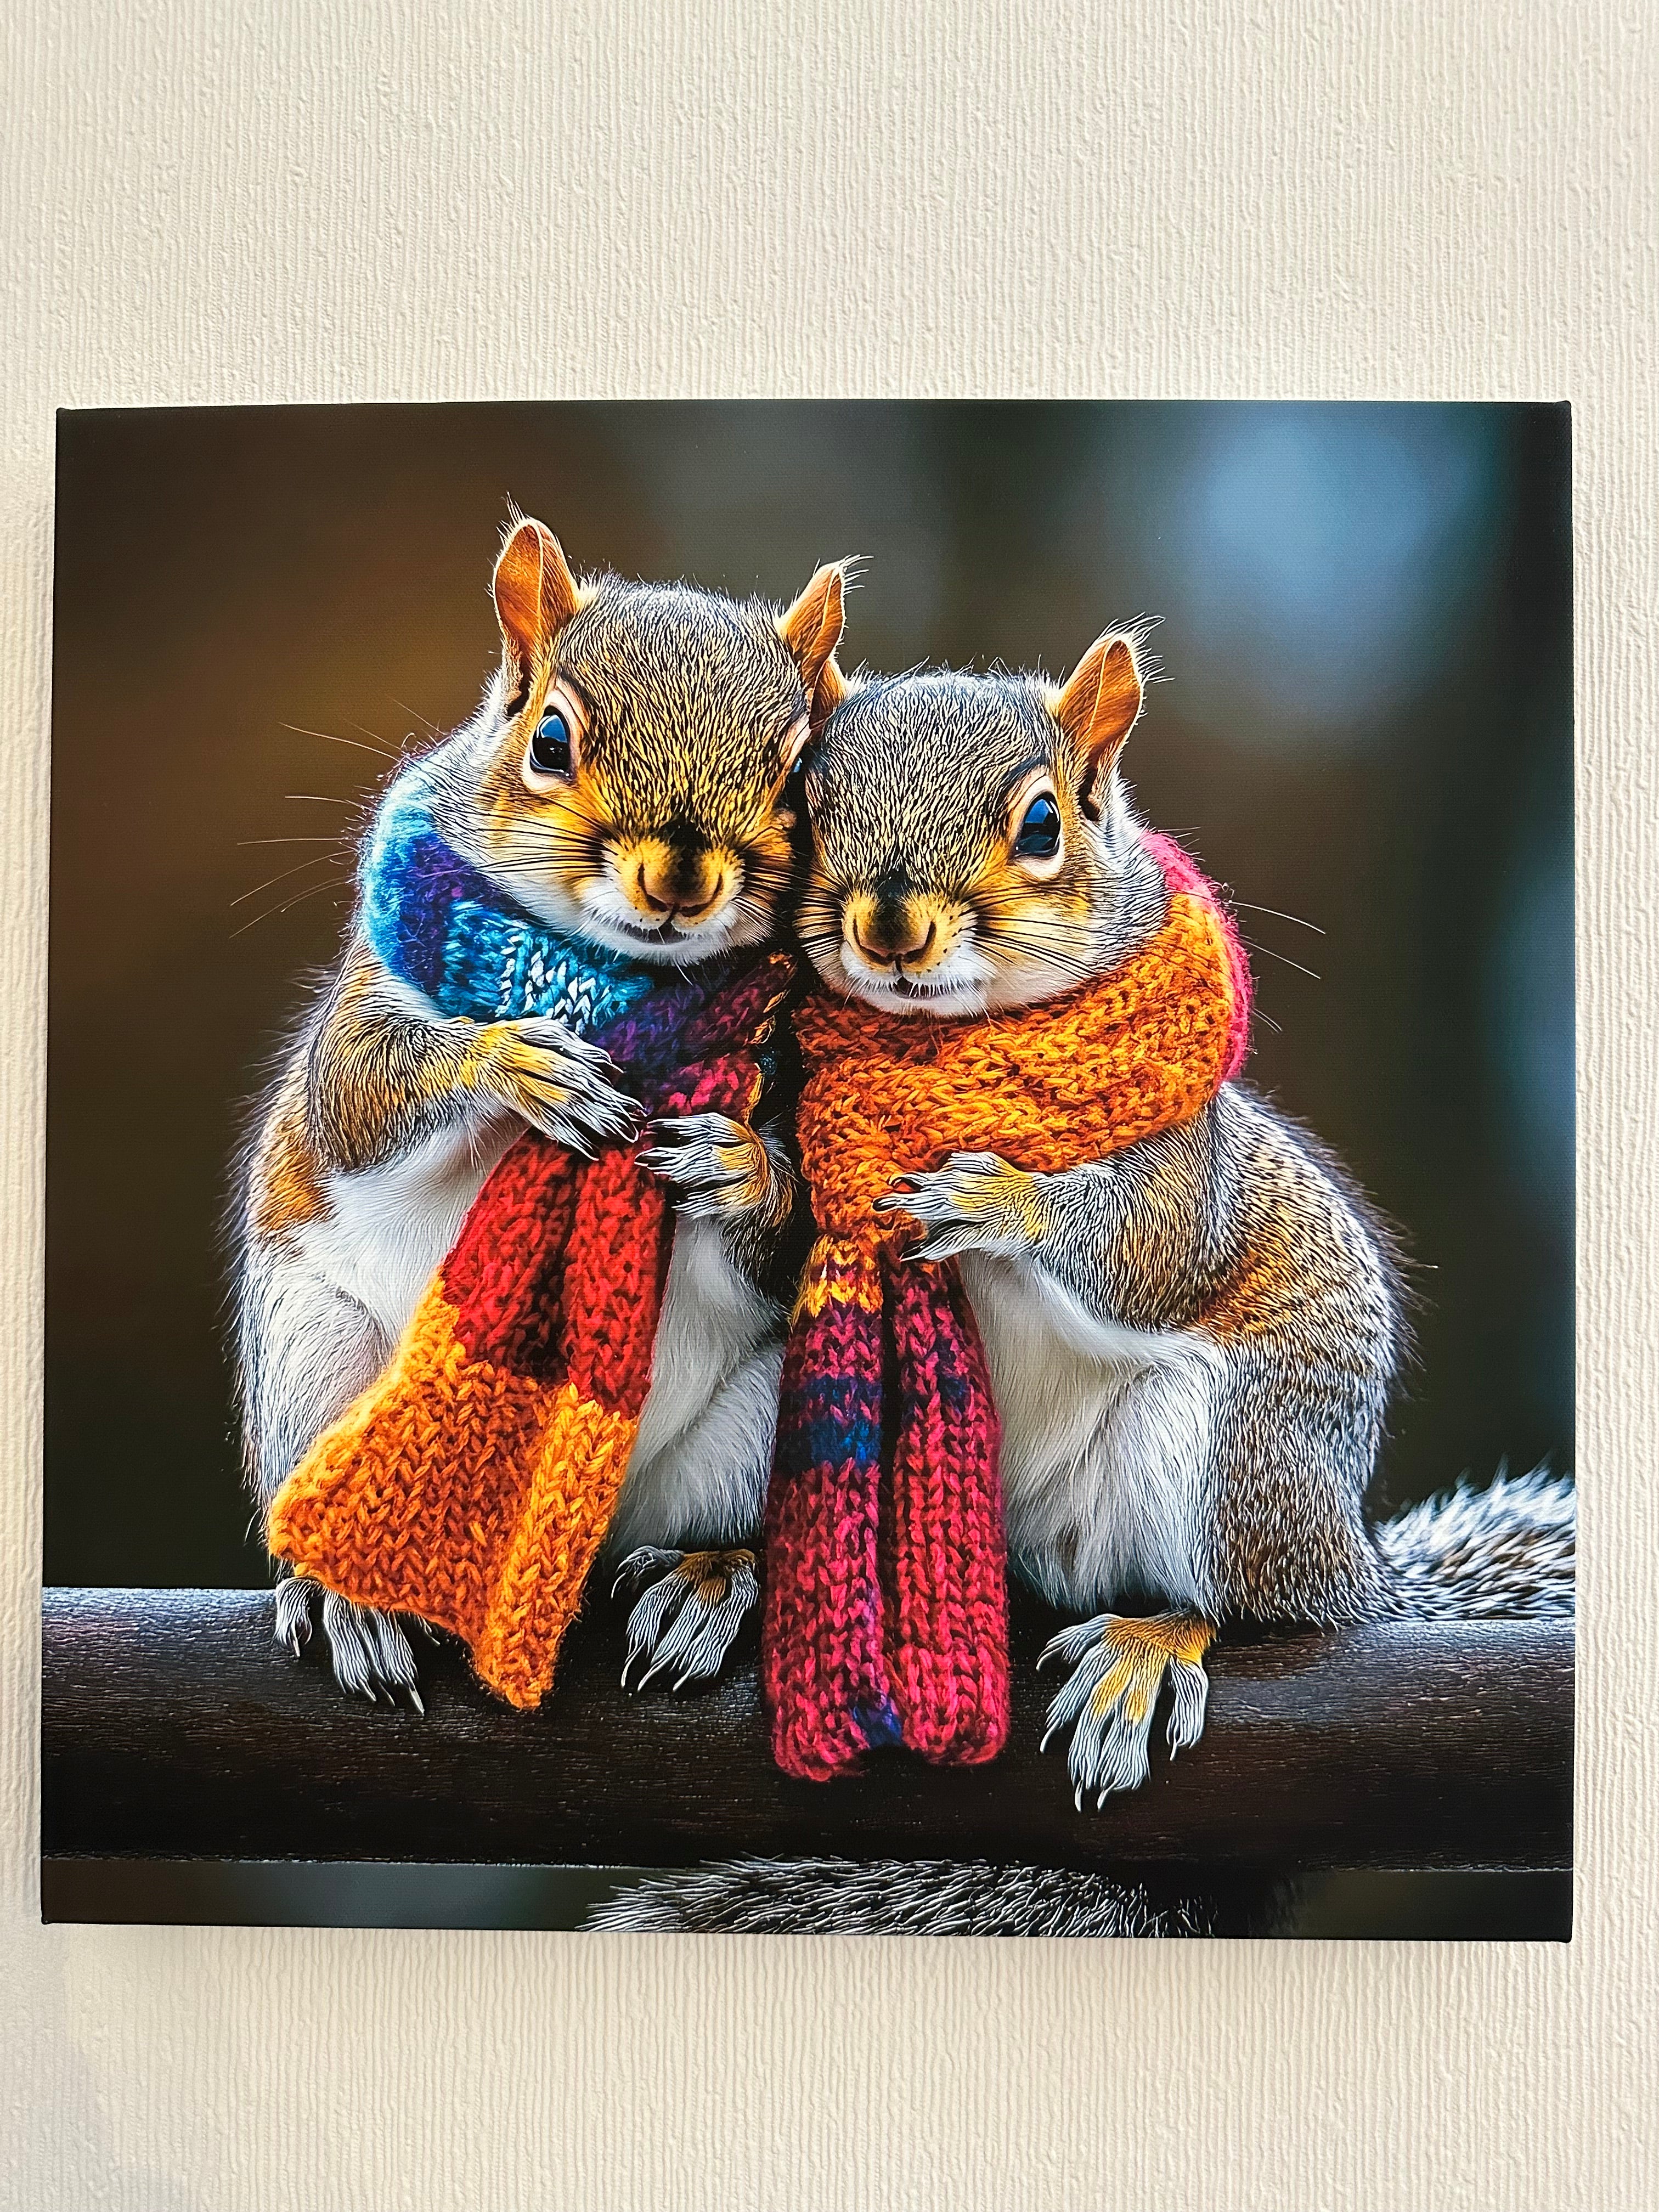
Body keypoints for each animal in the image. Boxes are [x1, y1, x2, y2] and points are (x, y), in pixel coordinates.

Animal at [234, 515, 845, 1704]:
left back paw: (707, 1578)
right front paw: (517, 1065)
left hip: (758, 1423)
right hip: (306, 1359)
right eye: (550, 740)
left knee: (717, 1524)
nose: (679, 877)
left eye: (799, 773)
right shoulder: (375, 1004)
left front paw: (741, 1169)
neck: (615, 983)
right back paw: (347, 1595)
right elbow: (356, 1098)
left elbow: (810, 1214)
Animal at [793, 629, 1575, 1806]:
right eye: (808, 797)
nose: (888, 923)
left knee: (1240, 1606)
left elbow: (1146, 1254)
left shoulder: (1176, 1163)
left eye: (1041, 822)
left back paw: (1149, 1644)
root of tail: (1351, 1568)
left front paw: (993, 1196)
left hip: (1227, 1451)